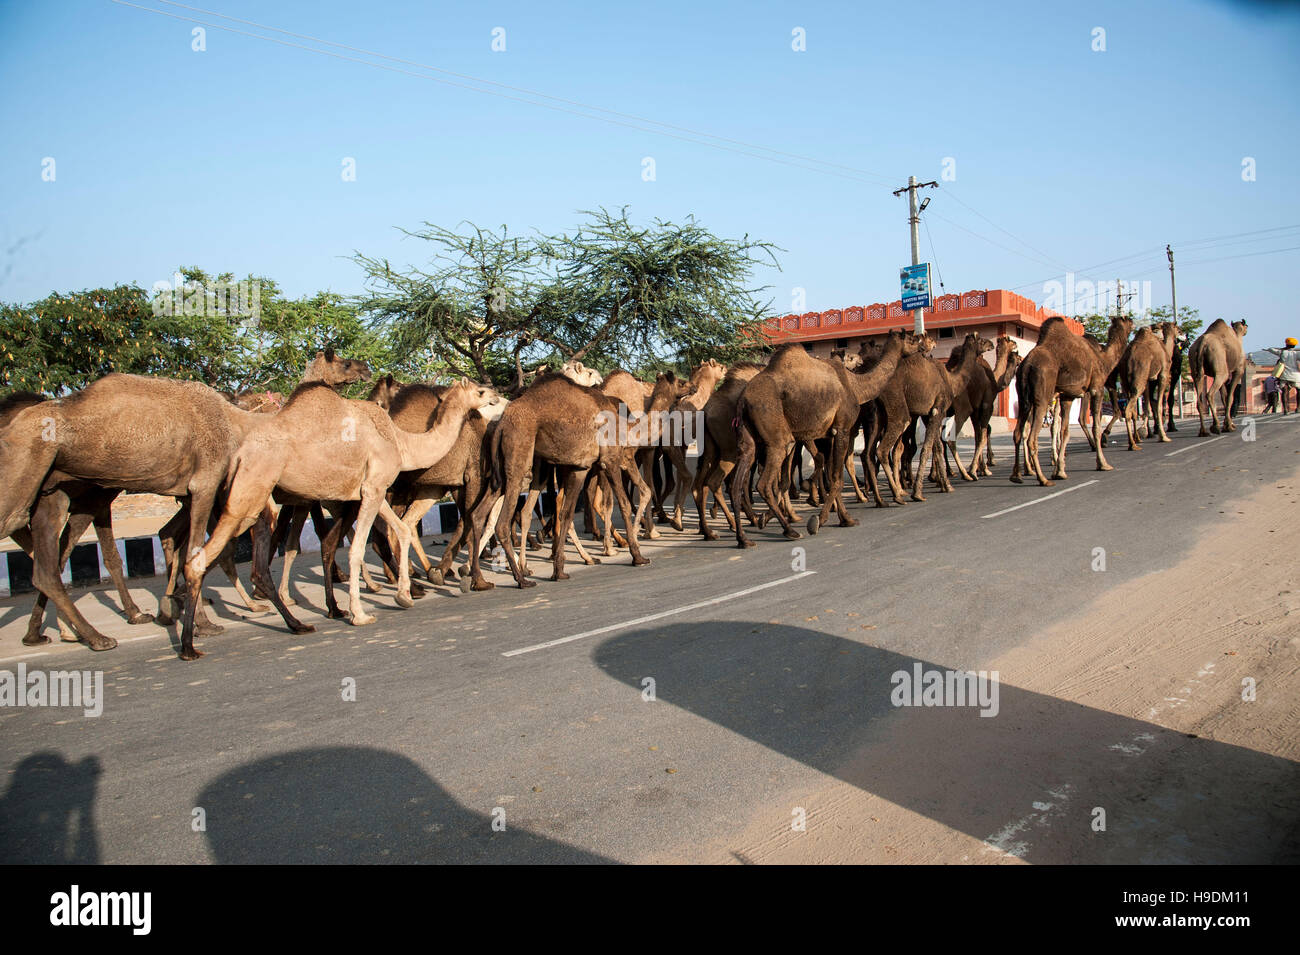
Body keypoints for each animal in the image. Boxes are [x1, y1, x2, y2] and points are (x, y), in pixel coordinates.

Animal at [175, 376, 493, 660]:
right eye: (480, 391)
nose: (495, 395)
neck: (400, 441)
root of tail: (238, 454)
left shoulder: (372, 489)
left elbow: (400, 530)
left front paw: (403, 595)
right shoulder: (376, 487)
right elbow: (358, 548)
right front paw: (361, 613)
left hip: (254, 502)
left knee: (225, 559)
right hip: (249, 495)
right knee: (206, 558)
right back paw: (194, 643)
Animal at [1008, 315, 1133, 485]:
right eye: (1127, 320)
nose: (1133, 322)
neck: (1102, 360)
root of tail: (1027, 366)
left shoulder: (1067, 396)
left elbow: (1064, 431)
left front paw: (1060, 471)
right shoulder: (1096, 388)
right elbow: (1095, 427)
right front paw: (1103, 464)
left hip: (1023, 398)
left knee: (1018, 433)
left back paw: (1017, 475)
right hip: (1042, 396)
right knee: (1031, 437)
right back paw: (1043, 479)